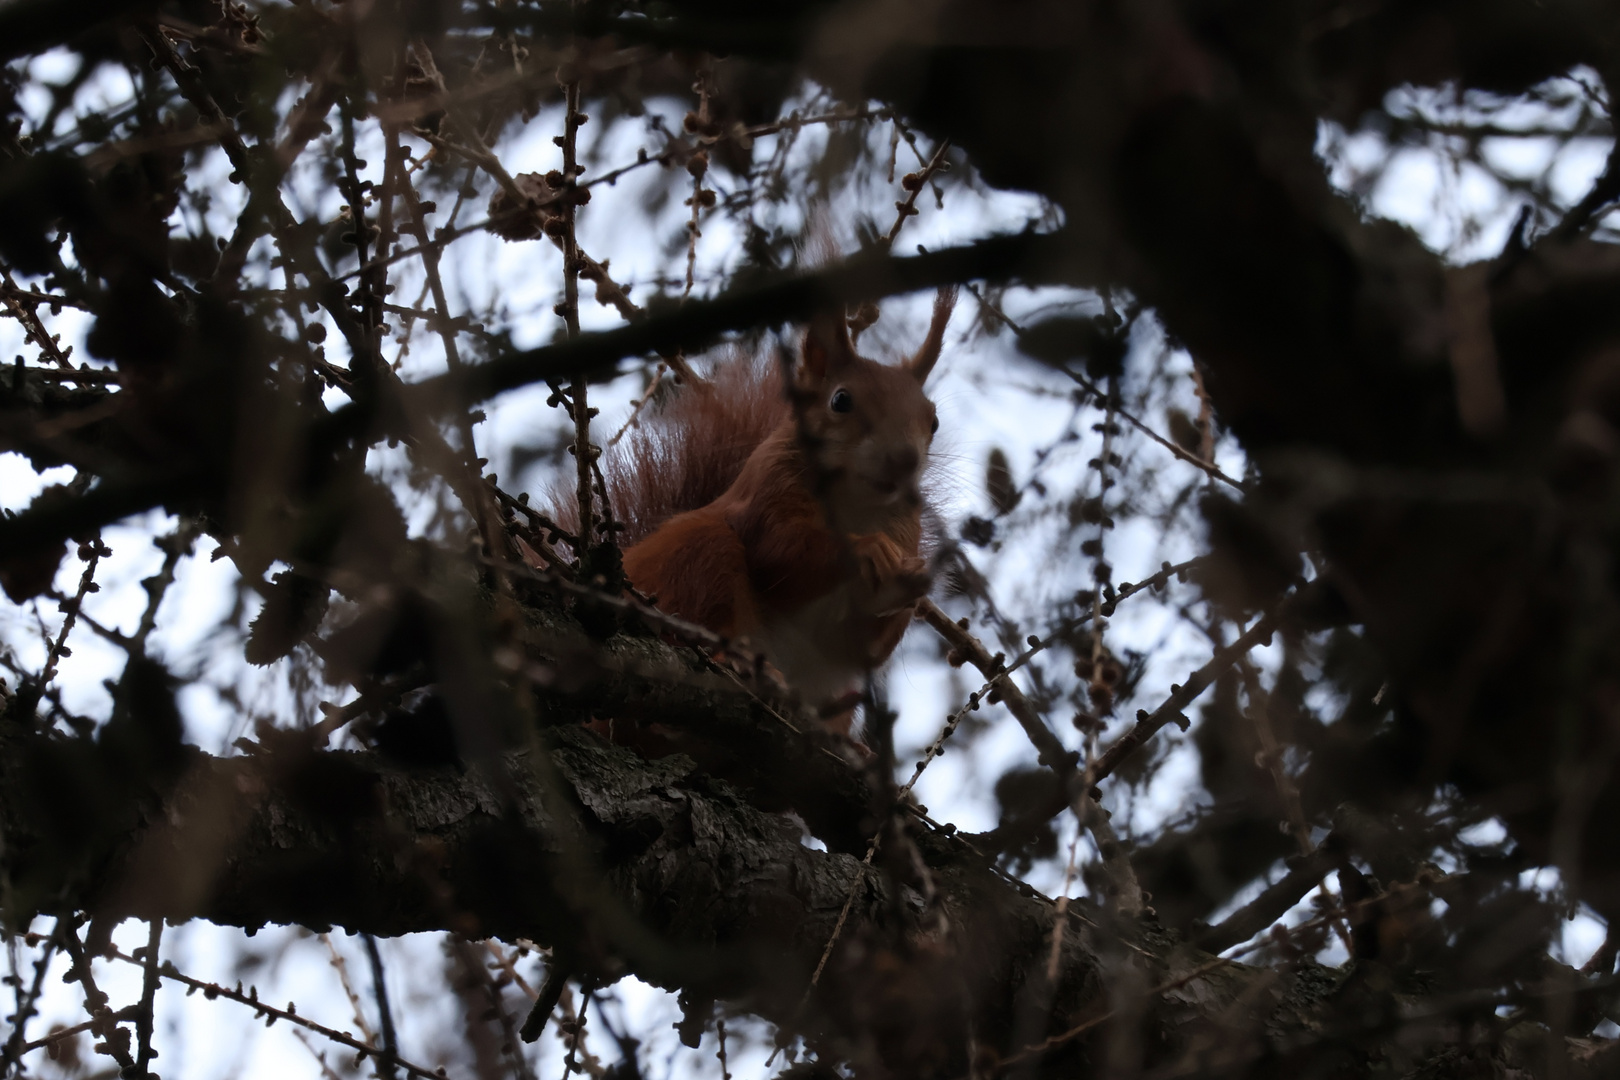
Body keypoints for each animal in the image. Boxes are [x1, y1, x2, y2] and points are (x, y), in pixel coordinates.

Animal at [599, 286, 952, 735]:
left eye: (934, 421)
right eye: (841, 400)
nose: (906, 460)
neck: (854, 502)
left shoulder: (903, 527)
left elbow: (857, 647)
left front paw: (907, 583)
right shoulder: (766, 493)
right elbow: (778, 552)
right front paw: (867, 548)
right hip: (694, 558)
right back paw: (743, 667)